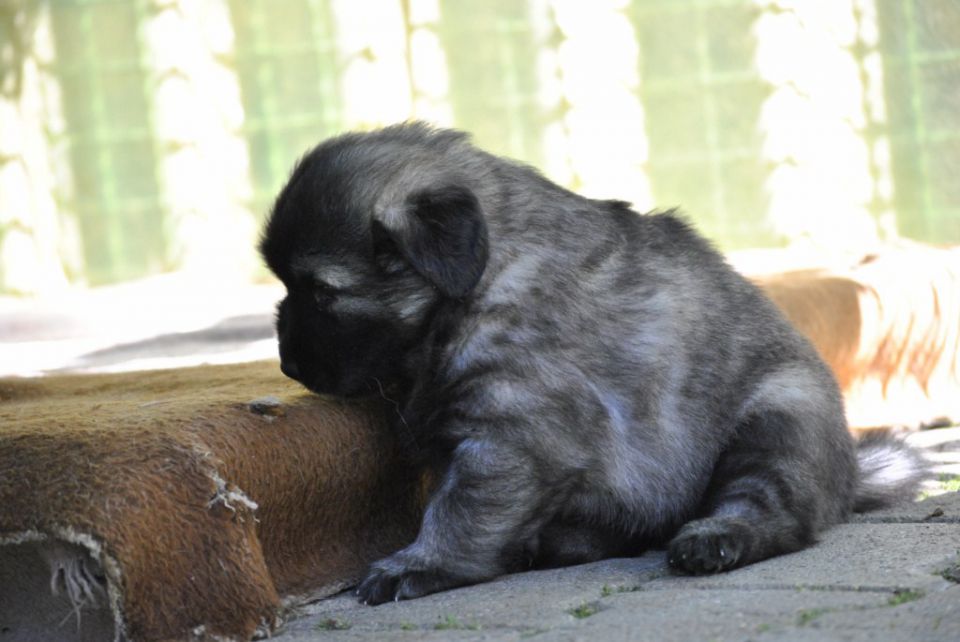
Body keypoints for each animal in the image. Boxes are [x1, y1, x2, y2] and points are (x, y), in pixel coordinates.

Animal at [258, 122, 928, 604]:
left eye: (320, 291)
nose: (288, 366)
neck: (483, 280)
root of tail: (849, 477)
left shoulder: (514, 435)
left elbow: (459, 509)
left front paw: (419, 564)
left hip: (778, 417)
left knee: (770, 507)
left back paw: (714, 538)